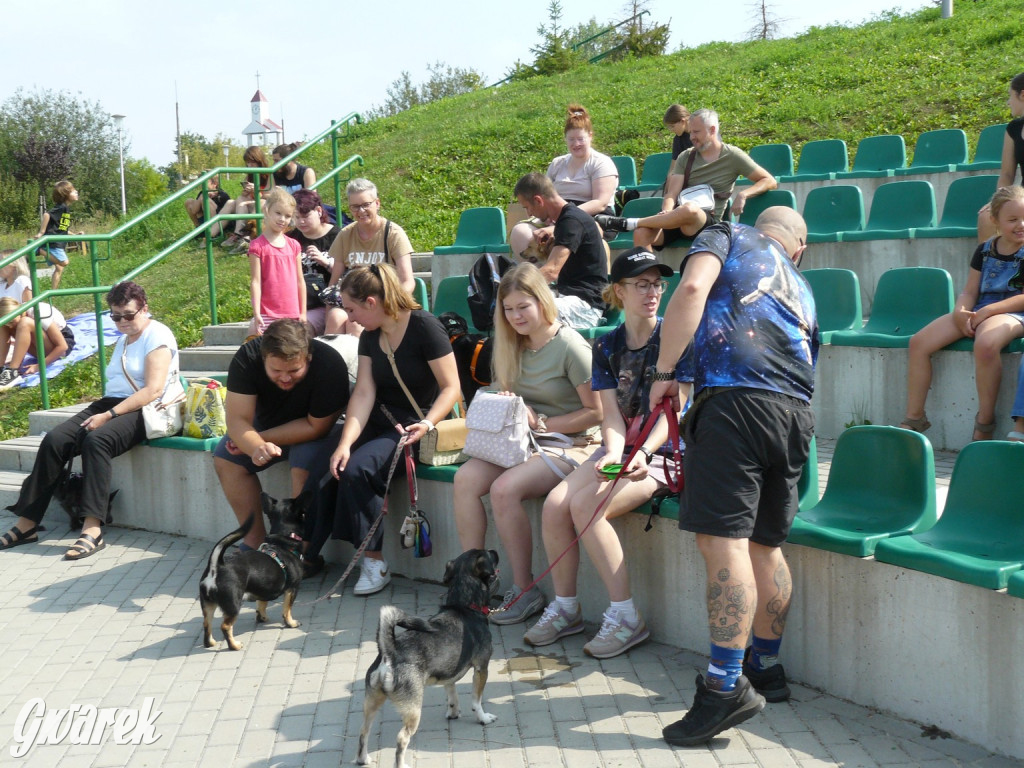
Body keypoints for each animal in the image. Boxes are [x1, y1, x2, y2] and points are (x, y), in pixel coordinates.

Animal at [197, 493, 309, 651]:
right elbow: (287, 610)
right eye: (304, 513)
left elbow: (262, 604)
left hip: (208, 604)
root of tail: (216, 566)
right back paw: (234, 645)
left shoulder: (264, 590)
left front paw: (262, 618)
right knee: (225, 626)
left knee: (207, 623)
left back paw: (210, 643)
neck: (282, 540)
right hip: (233, 605)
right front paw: (291, 623)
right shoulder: (292, 589)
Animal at [356, 548, 499, 768]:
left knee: (364, 731)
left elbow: (452, 695)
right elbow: (476, 701)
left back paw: (363, 759)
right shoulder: (481, 668)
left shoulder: (449, 675)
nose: (494, 551)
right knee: (401, 739)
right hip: (413, 711)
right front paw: (483, 718)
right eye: (488, 554)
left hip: (371, 704)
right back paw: (401, 764)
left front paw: (453, 713)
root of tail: (390, 653)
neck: (464, 605)